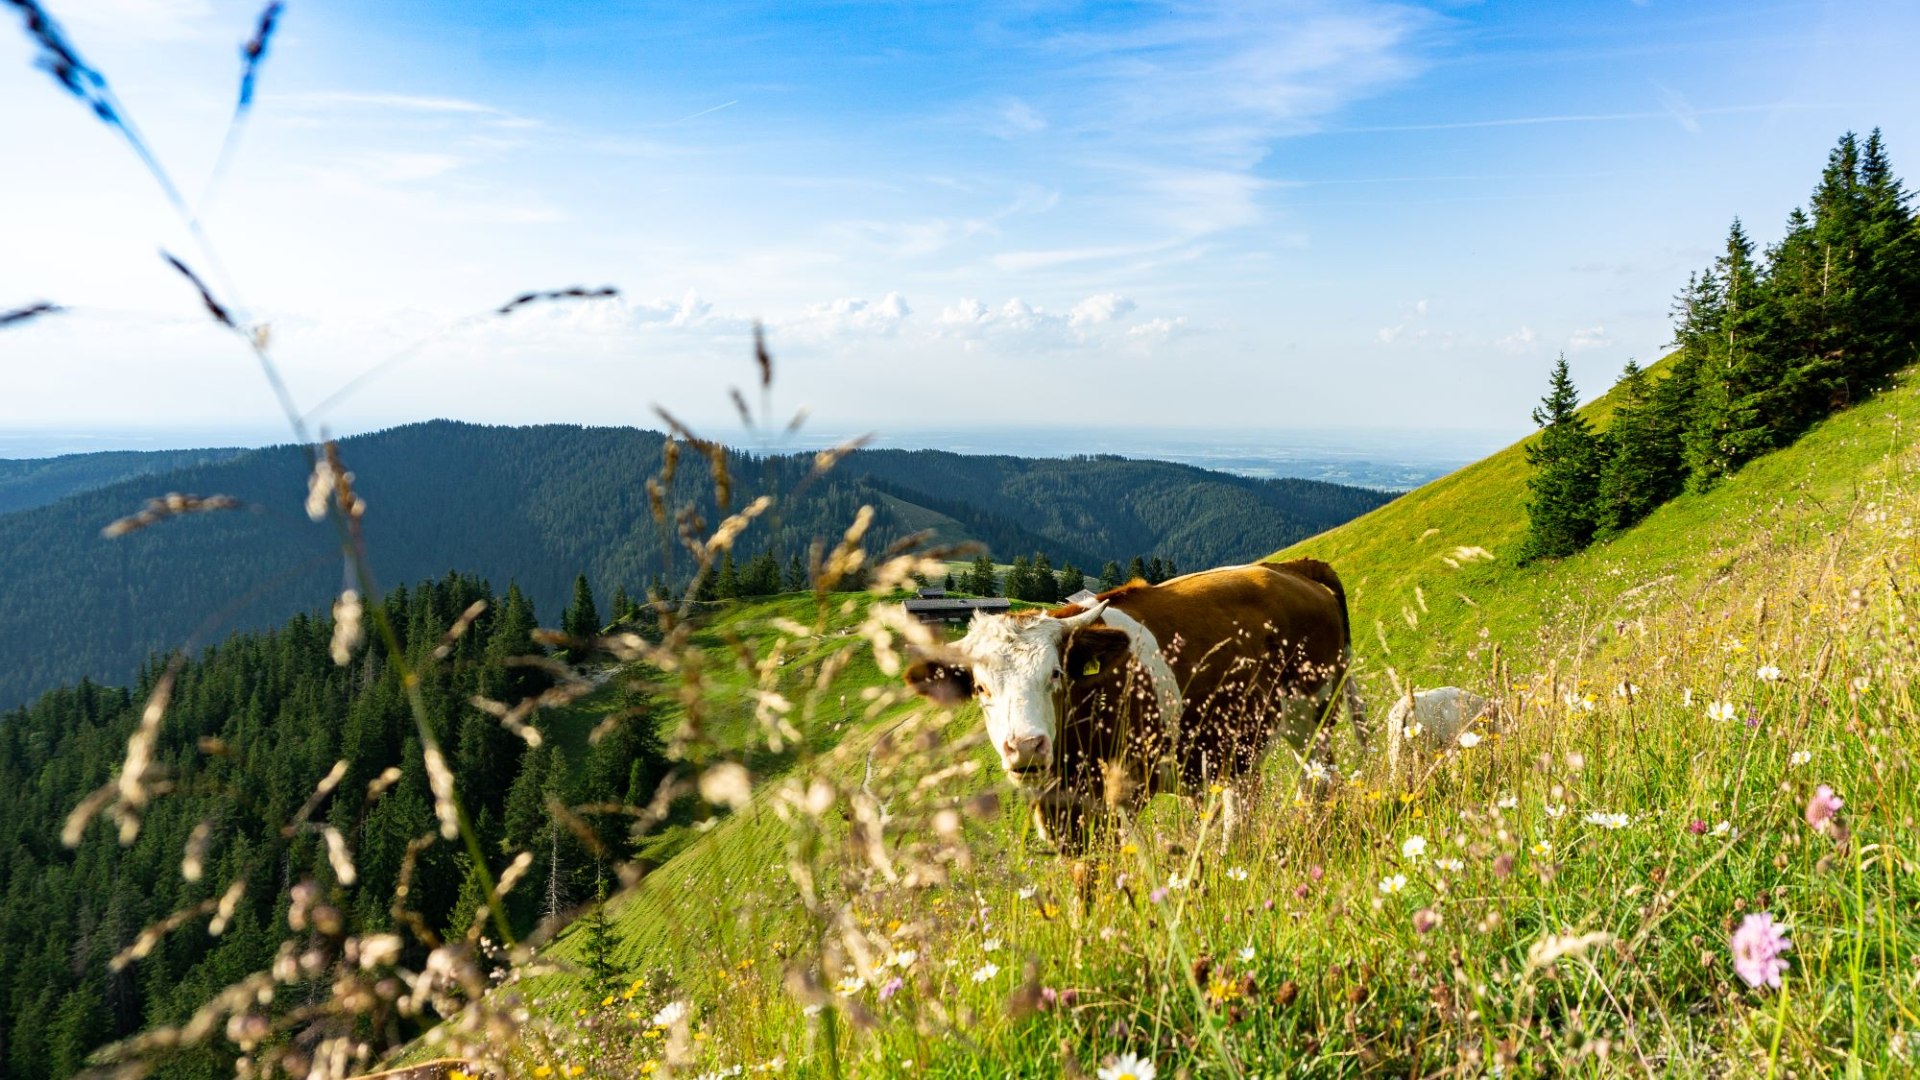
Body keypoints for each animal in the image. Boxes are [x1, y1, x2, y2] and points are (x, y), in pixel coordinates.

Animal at [902, 557, 1367, 845]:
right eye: (981, 688)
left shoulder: (1127, 789)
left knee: (1321, 779)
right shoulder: (1065, 810)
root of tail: (1290, 568)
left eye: (1055, 674)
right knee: (1250, 795)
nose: (1027, 747)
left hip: (1314, 709)